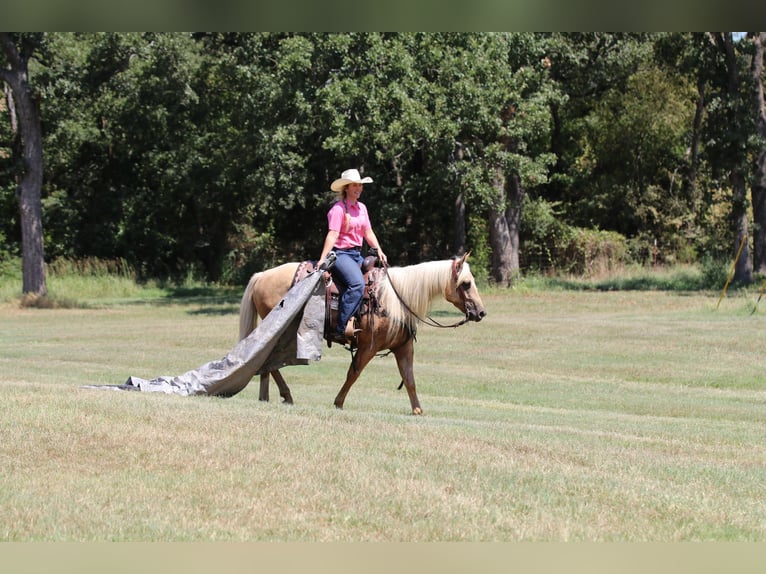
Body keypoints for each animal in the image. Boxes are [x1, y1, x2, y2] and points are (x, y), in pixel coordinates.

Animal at [238, 253, 486, 414]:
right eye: (466, 283)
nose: (481, 312)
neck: (396, 299)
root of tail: (262, 276)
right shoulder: (369, 346)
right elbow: (353, 374)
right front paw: (338, 402)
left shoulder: (403, 347)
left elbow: (409, 379)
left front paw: (417, 410)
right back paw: (286, 395)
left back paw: (271, 396)